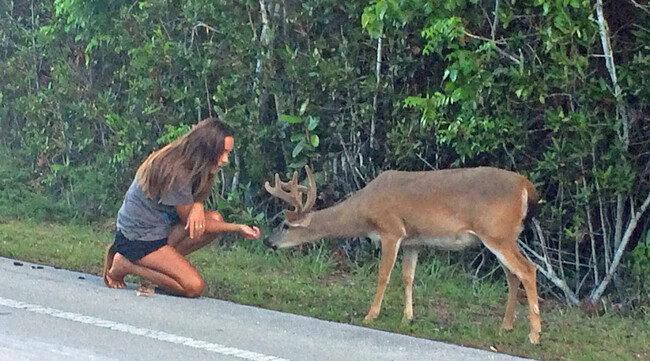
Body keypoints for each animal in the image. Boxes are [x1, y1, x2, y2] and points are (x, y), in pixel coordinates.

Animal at [264, 165, 540, 342]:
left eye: (285, 225)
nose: (268, 242)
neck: (364, 210)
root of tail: (526, 186)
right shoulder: (412, 241)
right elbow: (408, 277)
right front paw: (408, 317)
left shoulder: (391, 230)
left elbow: (384, 275)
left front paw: (371, 314)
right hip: (502, 237)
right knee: (513, 275)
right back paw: (506, 326)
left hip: (497, 233)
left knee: (528, 269)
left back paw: (534, 334)